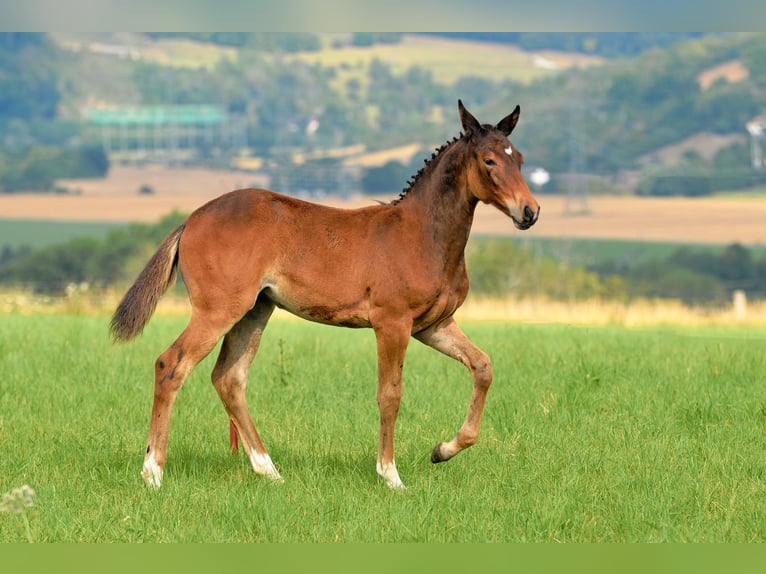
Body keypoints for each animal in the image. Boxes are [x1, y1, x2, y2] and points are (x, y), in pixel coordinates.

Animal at [110, 100, 540, 489]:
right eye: (488, 161)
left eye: (519, 159)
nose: (530, 212)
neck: (422, 234)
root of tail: (191, 219)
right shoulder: (392, 323)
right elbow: (390, 394)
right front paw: (390, 475)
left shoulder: (432, 325)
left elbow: (482, 367)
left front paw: (442, 450)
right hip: (218, 310)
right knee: (171, 366)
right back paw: (153, 473)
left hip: (255, 311)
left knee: (229, 378)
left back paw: (269, 471)